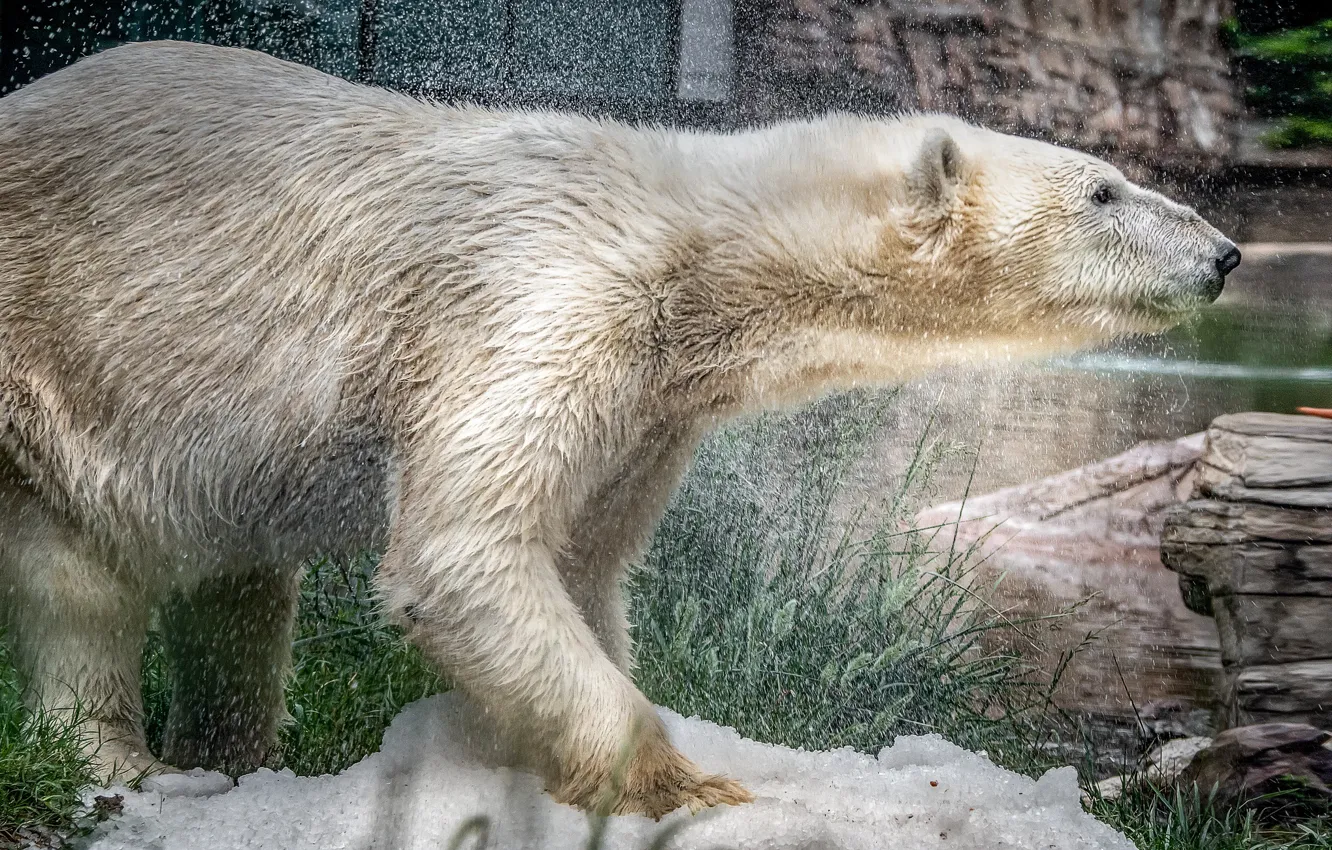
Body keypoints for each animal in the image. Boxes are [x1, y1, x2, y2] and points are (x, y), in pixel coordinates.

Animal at [0, 40, 1239, 817]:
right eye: (1105, 190)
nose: (1225, 253)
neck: (687, 237)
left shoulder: (647, 404)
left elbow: (582, 566)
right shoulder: (544, 297)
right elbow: (465, 549)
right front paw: (685, 783)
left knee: (243, 586)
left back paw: (242, 749)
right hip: (47, 368)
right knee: (79, 579)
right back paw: (126, 759)